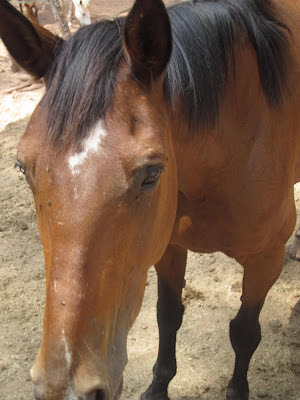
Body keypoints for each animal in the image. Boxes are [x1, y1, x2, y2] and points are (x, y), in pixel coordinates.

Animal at [0, 0, 300, 398]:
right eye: (23, 168)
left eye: (152, 174)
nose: (64, 389)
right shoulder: (167, 245)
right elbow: (167, 315)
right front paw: (158, 386)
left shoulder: (266, 260)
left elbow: (244, 332)